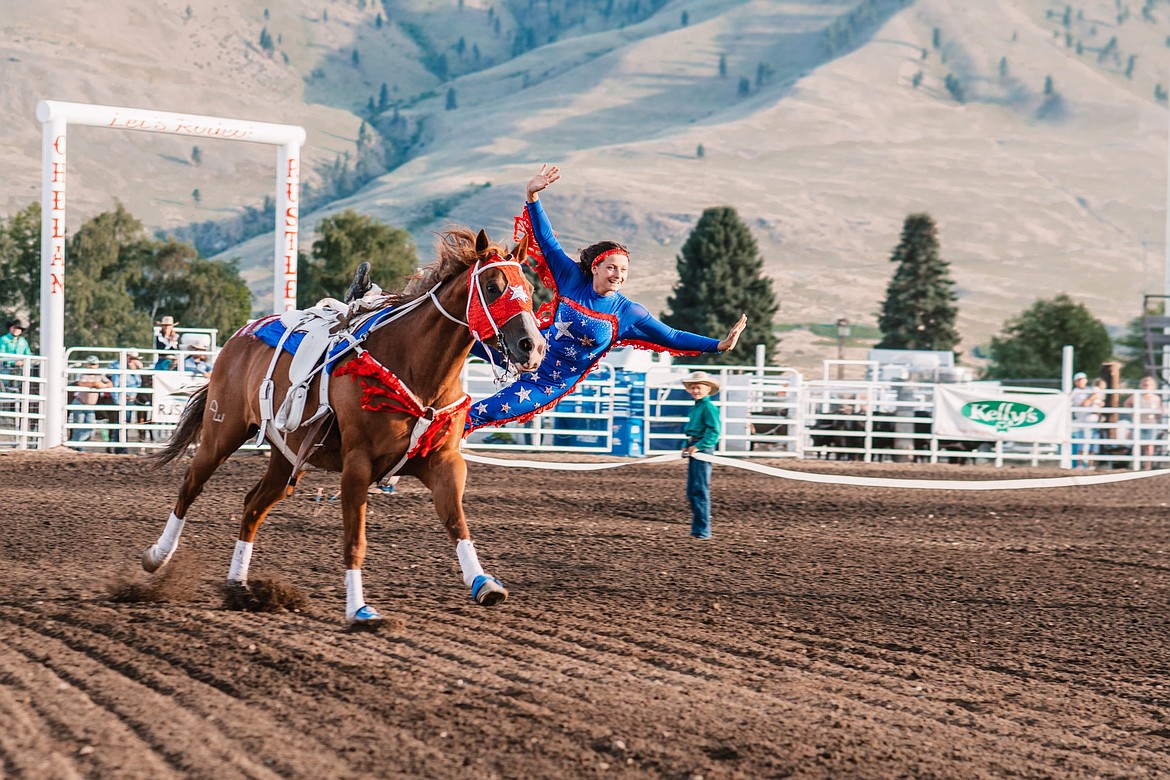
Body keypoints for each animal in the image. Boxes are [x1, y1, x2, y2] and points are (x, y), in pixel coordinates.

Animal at [147, 226, 547, 626]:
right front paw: (358, 608)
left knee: (253, 506)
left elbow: (456, 522)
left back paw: (238, 586)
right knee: (190, 487)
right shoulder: (358, 466)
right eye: (493, 287)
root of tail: (239, 336)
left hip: (286, 458)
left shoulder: (444, 463)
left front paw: (484, 583)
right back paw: (157, 556)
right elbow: (355, 540)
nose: (533, 346)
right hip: (222, 434)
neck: (413, 364)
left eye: (528, 287)